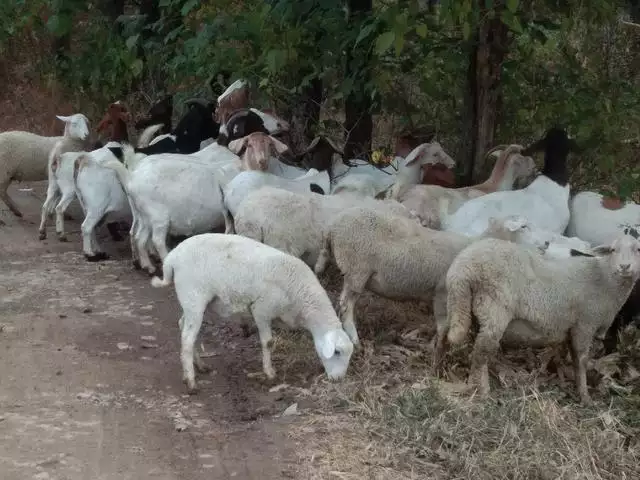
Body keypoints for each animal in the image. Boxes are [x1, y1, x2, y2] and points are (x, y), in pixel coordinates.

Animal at [150, 232, 356, 394]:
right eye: (337, 352)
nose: (339, 379)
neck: (302, 297)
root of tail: (171, 258)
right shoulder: (262, 310)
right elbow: (268, 342)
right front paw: (269, 372)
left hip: (194, 303)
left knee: (184, 326)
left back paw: (200, 366)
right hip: (193, 296)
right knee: (187, 338)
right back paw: (191, 381)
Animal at [436, 234, 640, 404]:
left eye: (638, 249)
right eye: (613, 250)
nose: (624, 267)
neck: (604, 278)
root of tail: (463, 268)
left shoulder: (568, 328)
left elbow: (564, 356)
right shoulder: (585, 324)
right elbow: (581, 360)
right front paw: (585, 396)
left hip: (456, 302)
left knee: (443, 336)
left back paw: (437, 370)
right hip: (494, 307)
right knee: (481, 352)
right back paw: (482, 391)